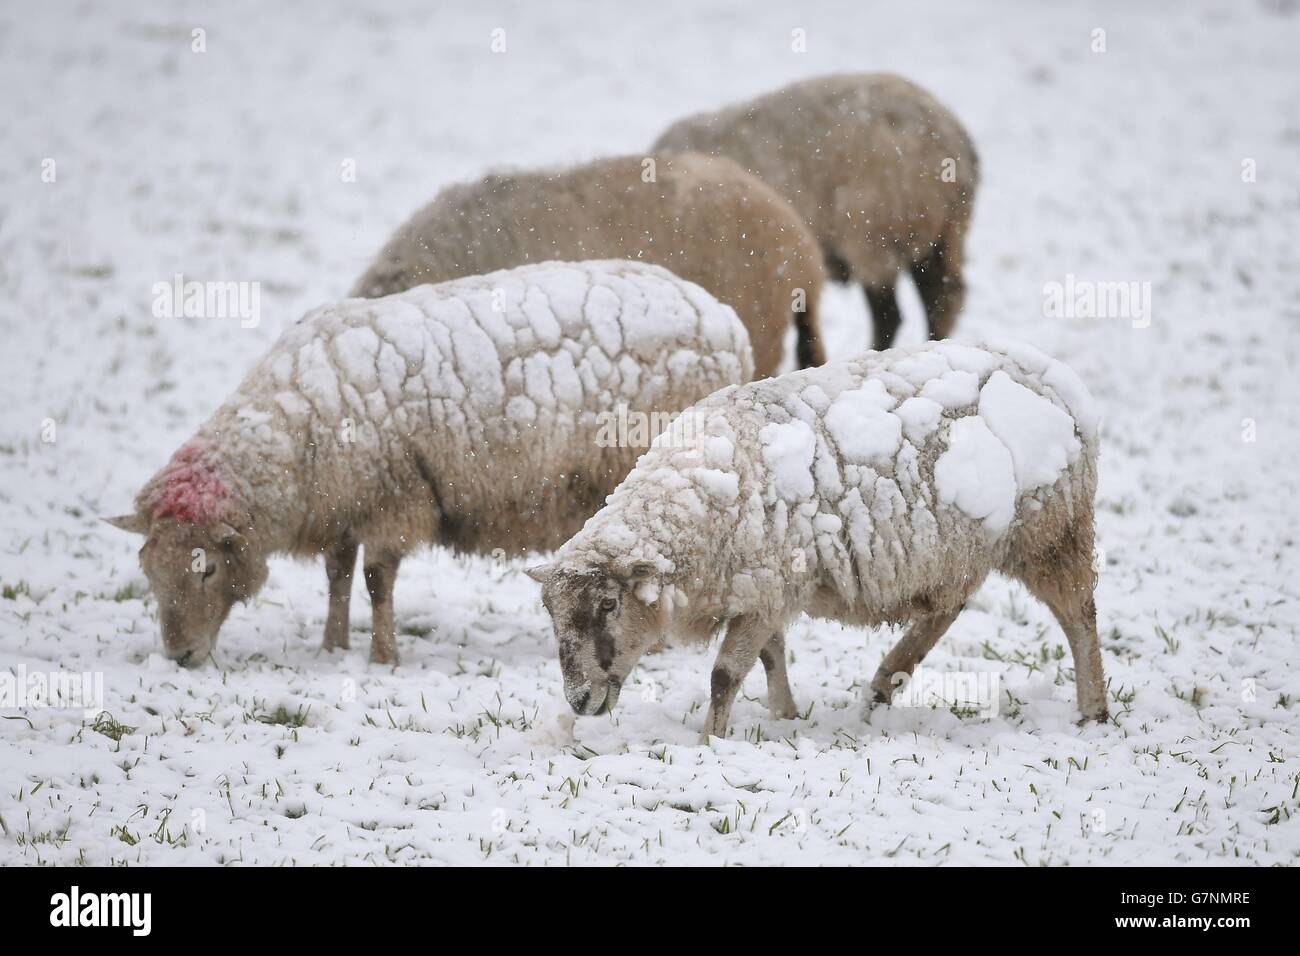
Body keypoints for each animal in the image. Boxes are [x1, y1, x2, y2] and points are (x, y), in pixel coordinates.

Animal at [106, 257, 759, 671]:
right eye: (149, 574)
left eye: (207, 571)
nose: (180, 658)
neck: (293, 427)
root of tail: (726, 320)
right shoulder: (345, 500)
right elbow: (337, 575)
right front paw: (333, 646)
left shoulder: (394, 497)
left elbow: (376, 579)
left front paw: (383, 657)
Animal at [527, 338, 1107, 738]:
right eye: (551, 614)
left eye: (608, 604)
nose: (579, 702)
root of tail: (1055, 378)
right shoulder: (763, 590)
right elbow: (770, 656)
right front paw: (784, 717)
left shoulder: (764, 590)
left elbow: (724, 675)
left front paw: (710, 740)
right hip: (956, 552)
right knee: (946, 610)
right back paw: (881, 688)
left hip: (1053, 532)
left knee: (1079, 616)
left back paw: (1093, 710)